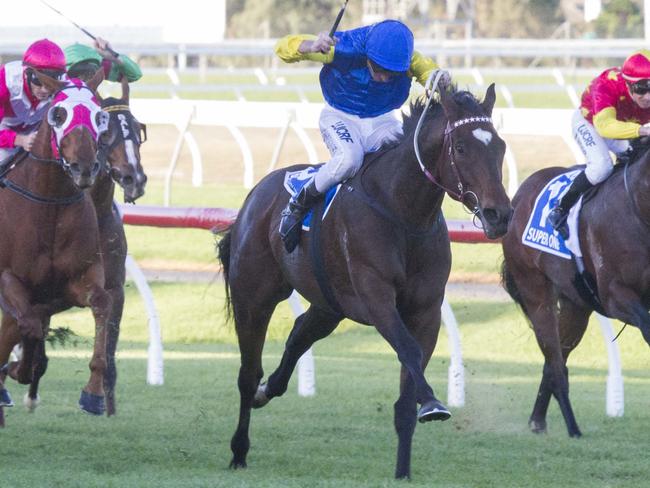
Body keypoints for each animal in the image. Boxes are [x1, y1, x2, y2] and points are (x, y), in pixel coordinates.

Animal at [0, 75, 146, 416]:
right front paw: (20, 373)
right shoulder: (12, 281)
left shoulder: (97, 284)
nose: (134, 178)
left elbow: (102, 314)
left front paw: (96, 395)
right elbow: (28, 324)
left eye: (139, 130)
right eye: (58, 114)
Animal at [218, 86, 512, 478]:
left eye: (500, 146)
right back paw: (239, 448)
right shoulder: (376, 298)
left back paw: (268, 390)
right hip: (253, 296)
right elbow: (410, 351)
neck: (404, 214)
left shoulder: (425, 310)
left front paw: (403, 470)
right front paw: (433, 403)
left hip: (329, 305)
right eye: (462, 147)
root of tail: (255, 195)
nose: (500, 214)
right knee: (248, 372)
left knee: (298, 334)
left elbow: (408, 384)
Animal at [502, 147, 650, 436]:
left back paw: (538, 419)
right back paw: (572, 428)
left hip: (576, 304)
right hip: (535, 291)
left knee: (556, 357)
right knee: (555, 360)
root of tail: (520, 194)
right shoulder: (615, 295)